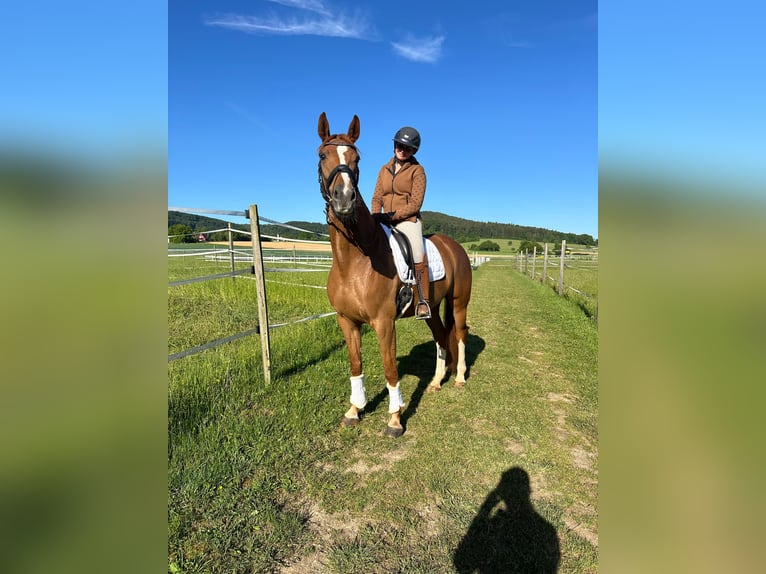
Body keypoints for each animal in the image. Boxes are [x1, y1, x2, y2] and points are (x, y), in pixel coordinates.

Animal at [317, 112, 473, 437]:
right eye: (323, 155)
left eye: (357, 158)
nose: (344, 199)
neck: (356, 260)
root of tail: (455, 247)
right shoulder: (347, 321)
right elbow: (356, 365)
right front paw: (354, 410)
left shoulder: (384, 323)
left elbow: (390, 369)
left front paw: (395, 418)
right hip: (432, 309)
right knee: (442, 336)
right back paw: (436, 382)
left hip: (459, 303)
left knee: (460, 334)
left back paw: (460, 378)